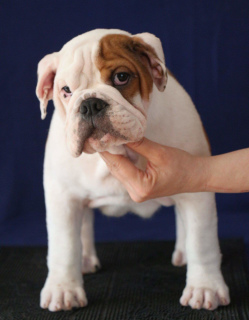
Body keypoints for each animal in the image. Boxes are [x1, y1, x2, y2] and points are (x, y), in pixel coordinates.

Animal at [36, 28, 231, 312]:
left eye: (121, 77)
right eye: (66, 91)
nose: (90, 103)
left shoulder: (196, 188)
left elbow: (202, 241)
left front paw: (205, 288)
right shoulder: (62, 197)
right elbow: (64, 246)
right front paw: (63, 290)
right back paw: (85, 259)